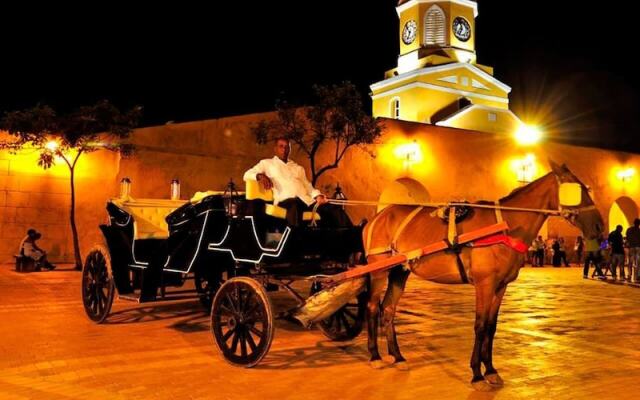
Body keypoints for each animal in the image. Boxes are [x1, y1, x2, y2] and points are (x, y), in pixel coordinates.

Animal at [362, 162, 604, 390]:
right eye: (576, 188)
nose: (599, 225)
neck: (505, 225)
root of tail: (379, 216)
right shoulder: (484, 284)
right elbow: (479, 325)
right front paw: (477, 375)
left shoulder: (501, 286)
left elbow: (491, 325)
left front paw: (490, 370)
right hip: (378, 269)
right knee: (373, 307)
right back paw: (375, 355)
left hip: (399, 271)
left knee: (388, 309)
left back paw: (398, 356)